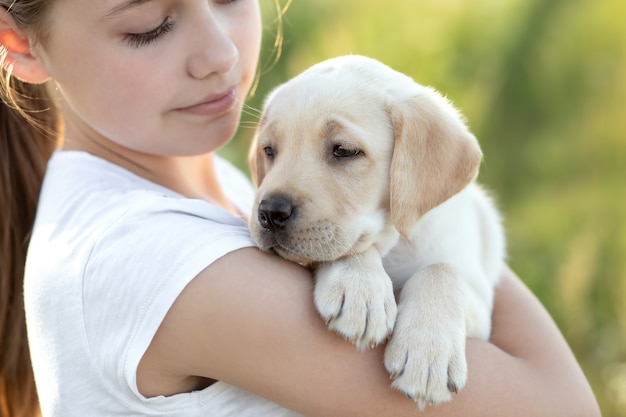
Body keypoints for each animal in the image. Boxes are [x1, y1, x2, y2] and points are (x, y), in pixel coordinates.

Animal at [246, 54, 504, 406]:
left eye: (344, 150)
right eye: (269, 150)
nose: (270, 212)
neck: (396, 245)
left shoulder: (480, 300)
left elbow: (441, 270)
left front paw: (427, 353)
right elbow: (353, 246)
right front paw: (359, 289)